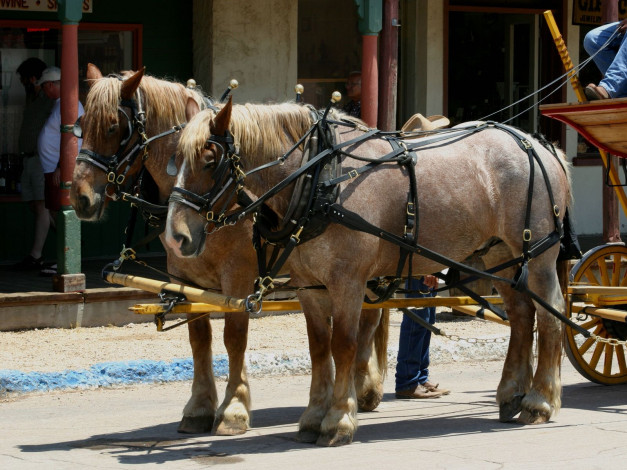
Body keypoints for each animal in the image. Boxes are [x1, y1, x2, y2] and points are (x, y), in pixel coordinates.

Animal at [68, 65, 388, 436]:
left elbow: (234, 336)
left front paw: (234, 408)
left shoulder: (237, 273)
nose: (80, 198)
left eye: (112, 127)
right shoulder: (183, 272)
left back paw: (362, 387)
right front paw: (199, 406)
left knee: (368, 318)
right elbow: (199, 337)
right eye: (79, 125)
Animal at [167, 97, 576, 446]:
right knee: (522, 317)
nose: (175, 237)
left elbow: (344, 344)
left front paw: (339, 420)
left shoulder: (347, 281)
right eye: (175, 159)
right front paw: (313, 416)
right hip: (499, 256)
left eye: (210, 159)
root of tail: (540, 145)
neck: (321, 178)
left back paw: (540, 400)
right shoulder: (309, 286)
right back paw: (512, 395)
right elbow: (319, 347)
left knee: (551, 315)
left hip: (538, 256)